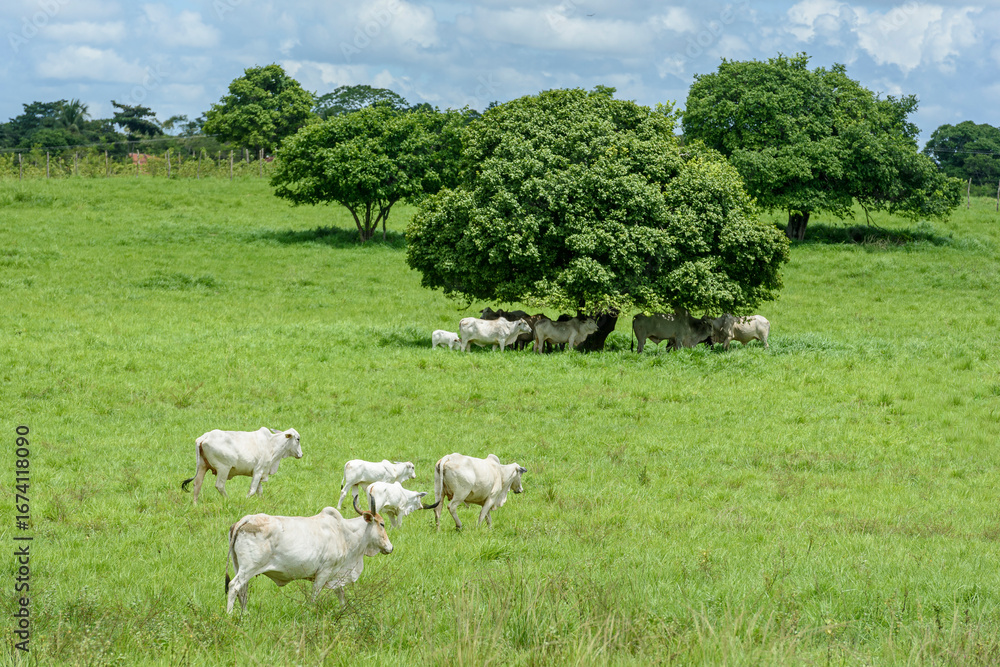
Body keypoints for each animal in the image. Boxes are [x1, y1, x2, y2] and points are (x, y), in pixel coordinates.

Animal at [224, 495, 392, 613]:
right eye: (382, 524)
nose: (390, 547)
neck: (345, 533)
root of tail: (246, 519)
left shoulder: (335, 575)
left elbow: (341, 594)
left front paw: (344, 612)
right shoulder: (324, 572)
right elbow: (314, 597)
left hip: (239, 566)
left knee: (243, 591)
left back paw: (245, 615)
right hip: (249, 568)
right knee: (233, 586)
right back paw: (230, 615)